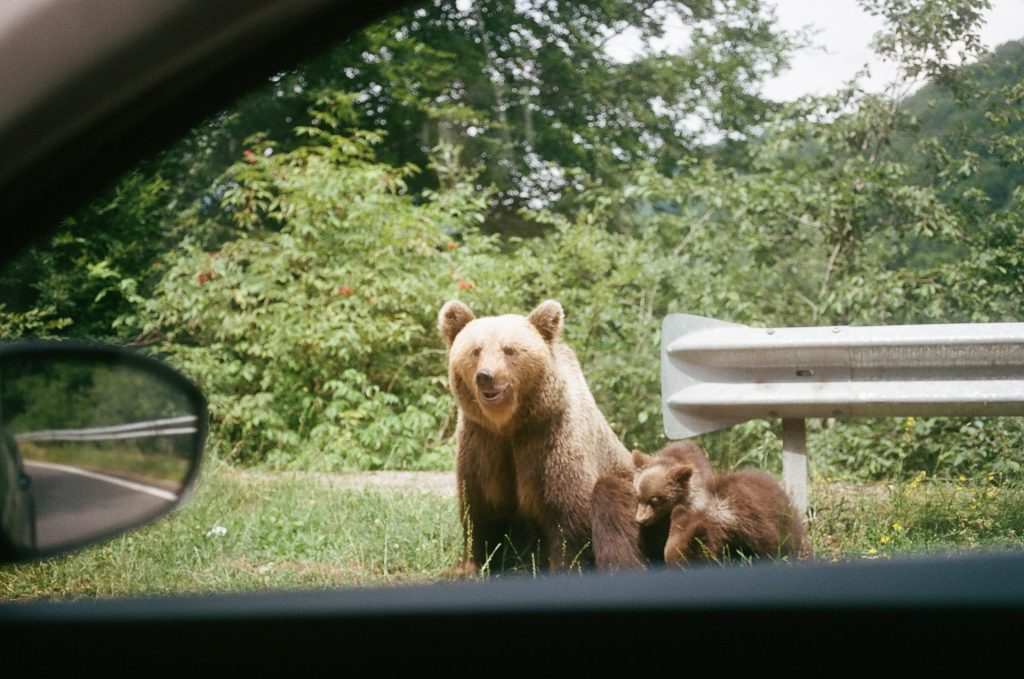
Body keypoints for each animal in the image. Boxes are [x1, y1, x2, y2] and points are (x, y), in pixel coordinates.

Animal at [438, 301, 634, 569]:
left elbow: (568, 513)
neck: (508, 425)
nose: (485, 376)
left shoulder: (550, 439)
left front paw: (564, 565)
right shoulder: (482, 443)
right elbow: (478, 511)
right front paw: (471, 565)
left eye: (509, 350)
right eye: (476, 350)